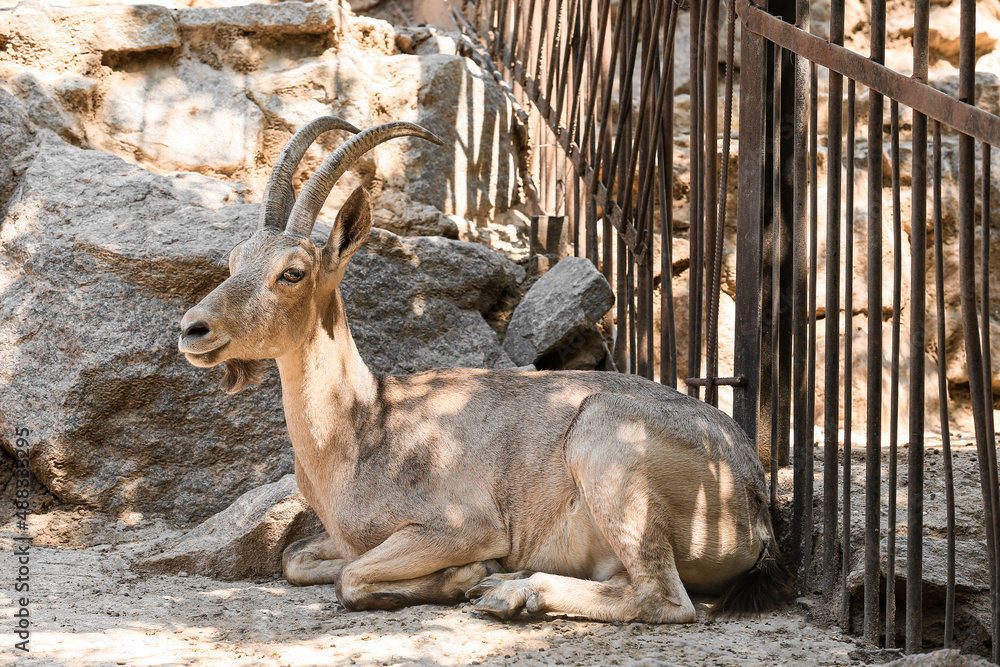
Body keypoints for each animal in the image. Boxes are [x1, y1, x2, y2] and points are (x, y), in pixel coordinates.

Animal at [178, 117, 788, 624]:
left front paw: (467, 575)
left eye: (293, 272)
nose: (193, 329)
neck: (362, 430)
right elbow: (295, 558)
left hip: (607, 445)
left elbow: (351, 579)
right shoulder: (346, 539)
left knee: (664, 598)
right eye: (234, 260)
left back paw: (508, 593)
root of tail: (756, 506)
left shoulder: (459, 525)